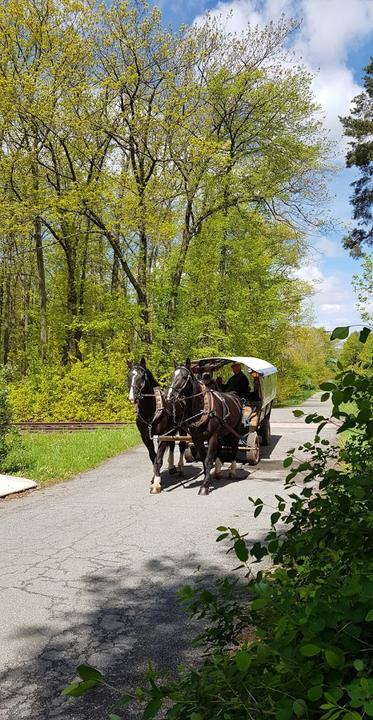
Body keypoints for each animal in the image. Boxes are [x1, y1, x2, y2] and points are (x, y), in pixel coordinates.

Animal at [128, 358, 186, 492]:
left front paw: (156, 483)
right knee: (172, 445)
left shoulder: (163, 435)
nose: (132, 397)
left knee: (182, 445)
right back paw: (171, 467)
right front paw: (155, 476)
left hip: (182, 428)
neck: (151, 410)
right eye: (128, 376)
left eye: (142, 377)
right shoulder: (145, 437)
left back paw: (180, 468)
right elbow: (152, 456)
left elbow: (158, 458)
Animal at [166, 360, 241, 496]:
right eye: (172, 376)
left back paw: (232, 471)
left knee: (234, 447)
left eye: (184, 377)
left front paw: (204, 486)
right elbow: (203, 459)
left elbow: (208, 459)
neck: (201, 407)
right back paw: (218, 471)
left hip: (235, 430)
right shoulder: (197, 438)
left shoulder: (212, 436)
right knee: (220, 448)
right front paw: (208, 480)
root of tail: (235, 396)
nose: (170, 397)